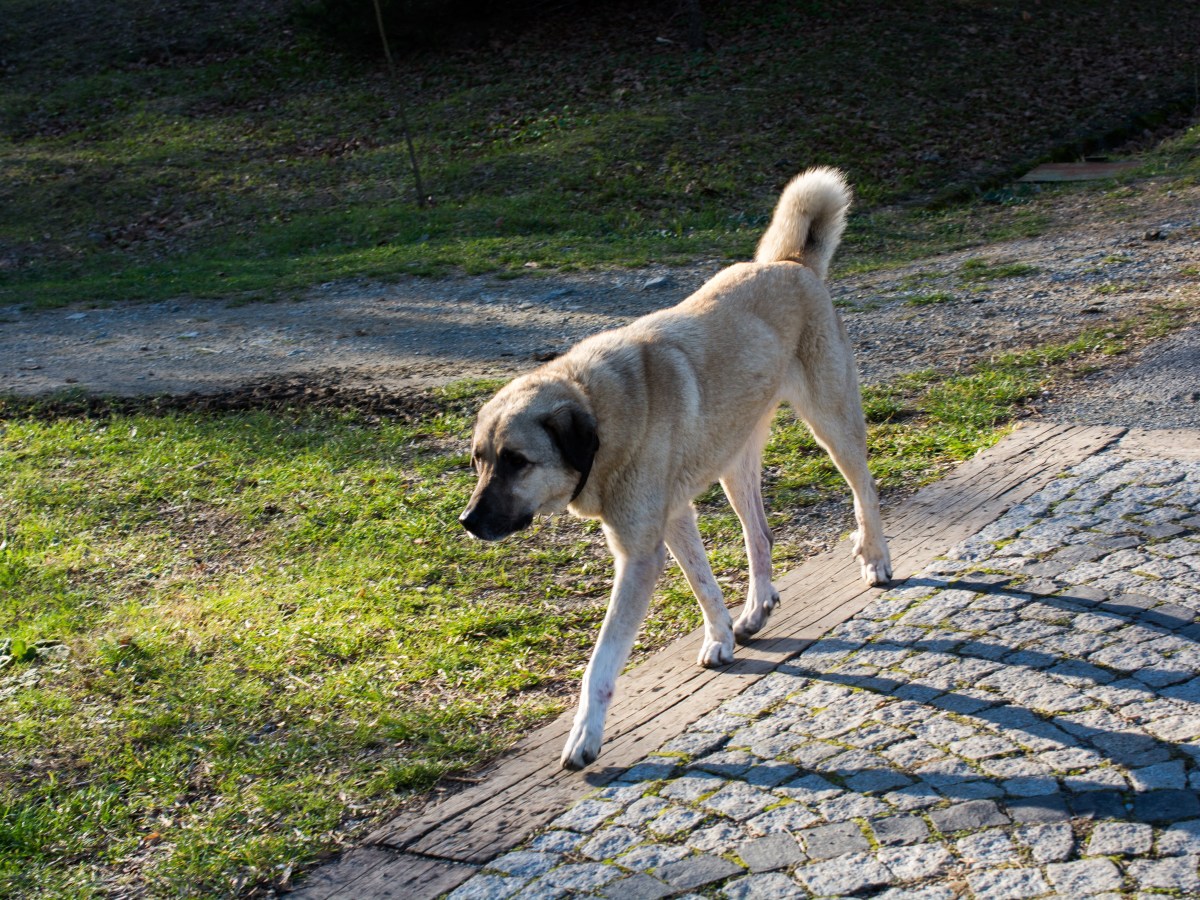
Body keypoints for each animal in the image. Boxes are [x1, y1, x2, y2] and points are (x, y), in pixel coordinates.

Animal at [458, 169, 892, 768]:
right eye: (479, 461)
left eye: (517, 462)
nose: (468, 522)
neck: (600, 410)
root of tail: (790, 263)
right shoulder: (674, 517)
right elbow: (704, 585)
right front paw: (721, 637)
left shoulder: (639, 554)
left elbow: (601, 661)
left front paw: (586, 734)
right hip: (735, 465)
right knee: (760, 536)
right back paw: (757, 607)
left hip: (833, 424)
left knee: (865, 490)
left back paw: (875, 558)